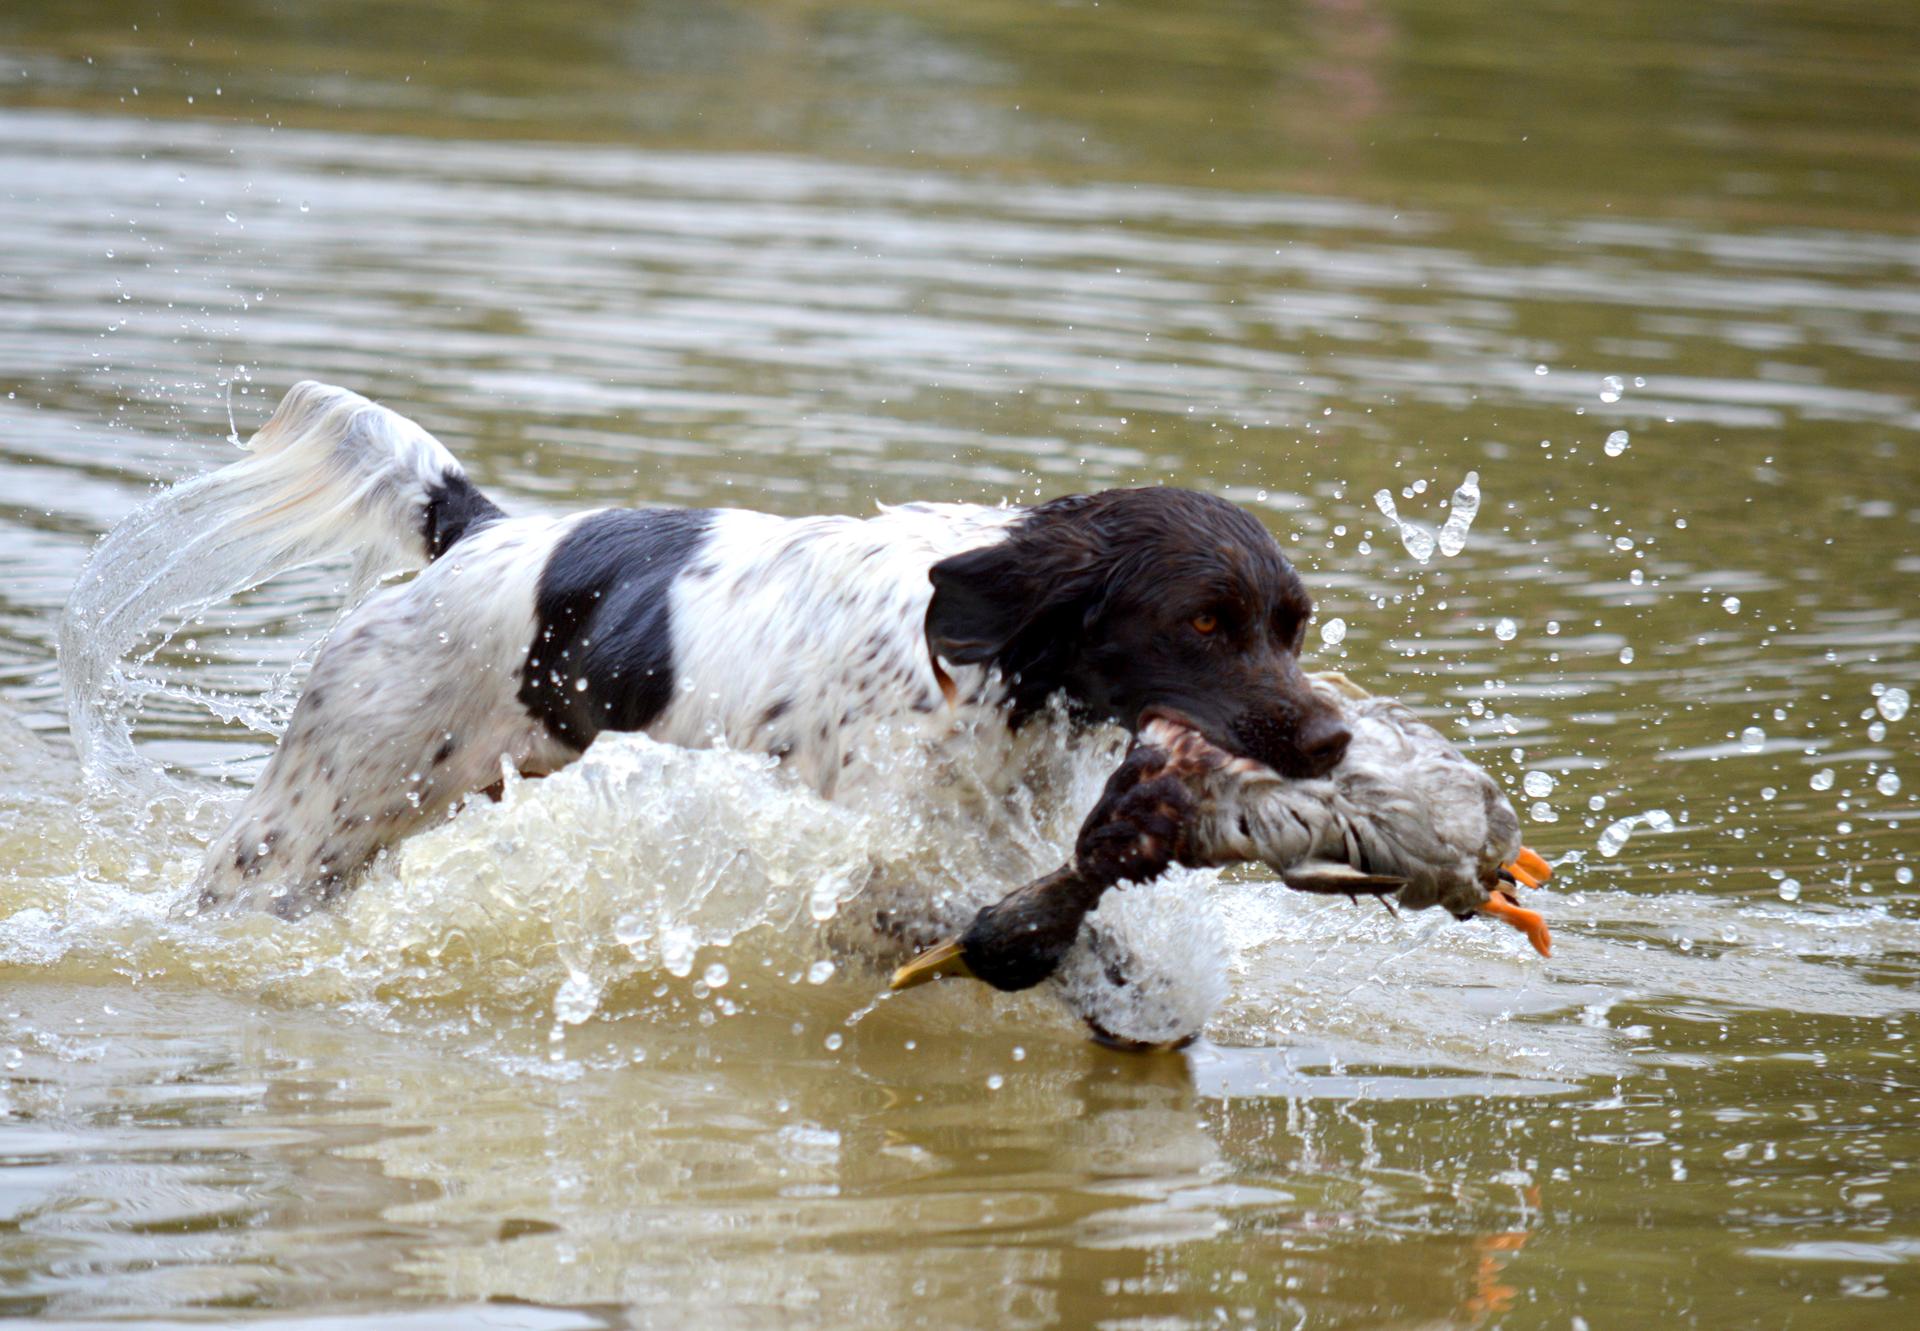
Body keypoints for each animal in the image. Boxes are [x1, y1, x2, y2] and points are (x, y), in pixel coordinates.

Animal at [78, 378, 1351, 910]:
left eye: (1291, 625)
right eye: (1204, 622)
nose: (1335, 737)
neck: (993, 673)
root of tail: (476, 529)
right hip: (305, 828)